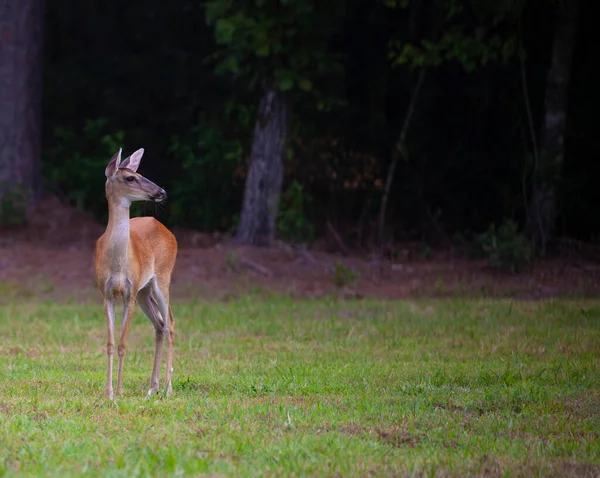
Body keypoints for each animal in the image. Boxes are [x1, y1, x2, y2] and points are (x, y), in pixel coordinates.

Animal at [94, 147, 178, 400]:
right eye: (131, 177)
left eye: (139, 173)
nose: (162, 191)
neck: (117, 262)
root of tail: (167, 230)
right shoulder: (107, 293)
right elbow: (110, 343)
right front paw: (109, 392)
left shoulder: (129, 294)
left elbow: (123, 343)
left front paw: (120, 390)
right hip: (145, 290)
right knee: (159, 324)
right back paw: (152, 387)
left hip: (163, 278)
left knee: (170, 323)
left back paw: (168, 388)